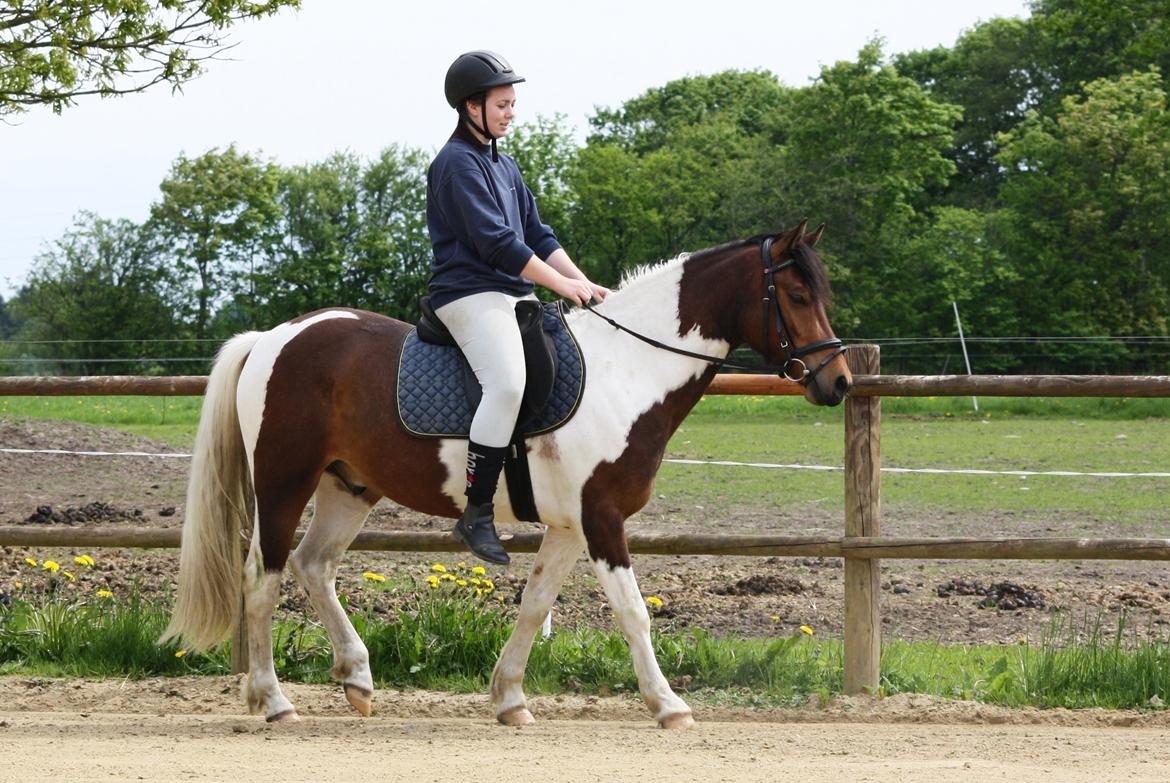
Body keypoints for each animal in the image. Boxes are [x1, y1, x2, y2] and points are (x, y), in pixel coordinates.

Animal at [162, 218, 851, 725]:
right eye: (795, 296)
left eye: (821, 294)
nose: (838, 382)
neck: (628, 370)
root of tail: (276, 337)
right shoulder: (602, 519)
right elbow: (634, 613)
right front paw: (668, 705)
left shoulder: (571, 526)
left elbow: (534, 603)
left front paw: (510, 699)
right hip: (284, 482)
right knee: (263, 578)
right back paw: (274, 701)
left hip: (349, 488)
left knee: (313, 567)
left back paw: (356, 677)